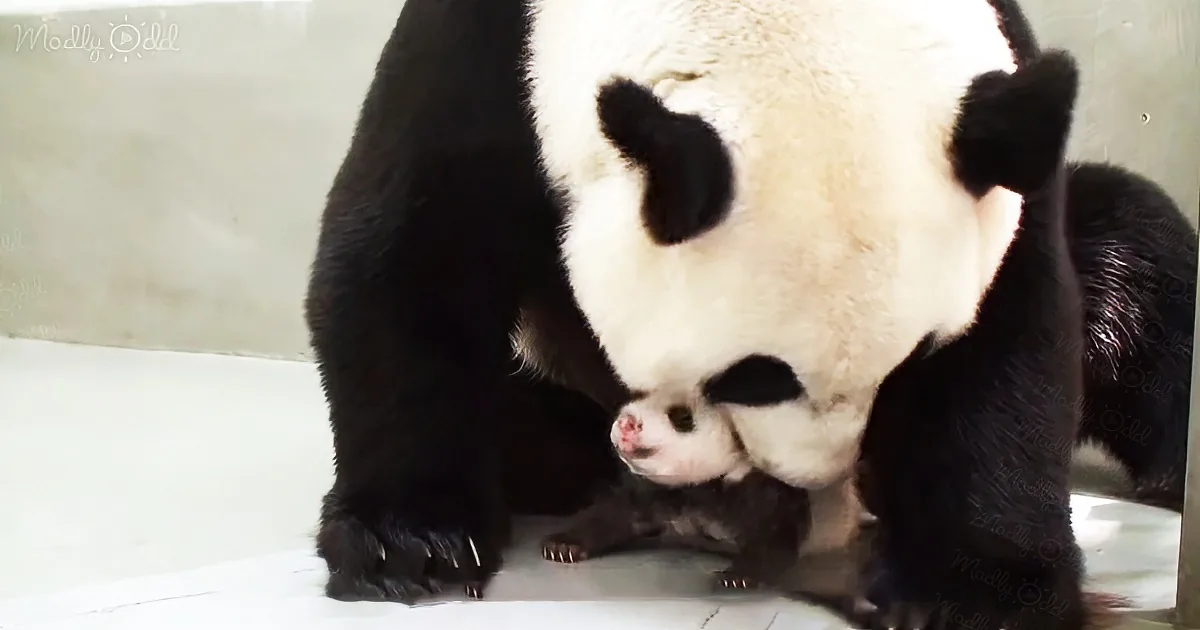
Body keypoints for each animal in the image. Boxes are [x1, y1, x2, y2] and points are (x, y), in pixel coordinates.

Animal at [302, 0, 1190, 618]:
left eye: (913, 357)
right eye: (755, 378)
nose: (820, 477)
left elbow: (1018, 320)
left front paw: (972, 591)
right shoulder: (491, 45)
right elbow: (411, 242)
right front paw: (412, 544)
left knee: (1137, 257)